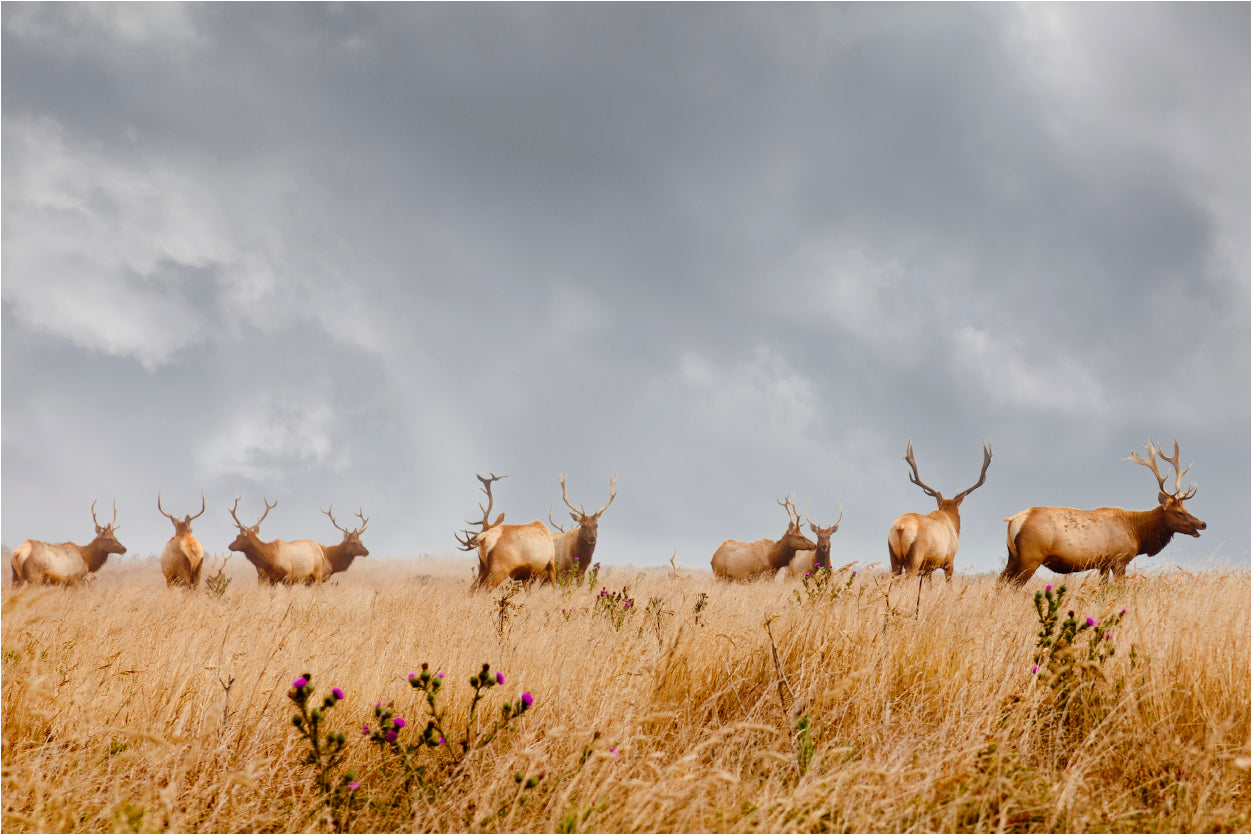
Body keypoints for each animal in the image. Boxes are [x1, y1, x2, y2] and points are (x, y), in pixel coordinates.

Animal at [885, 440, 990, 585]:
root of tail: (900, 528)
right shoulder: (949, 561)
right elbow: (949, 585)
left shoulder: (927, 569)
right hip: (914, 559)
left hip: (894, 557)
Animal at [995, 438, 1200, 588]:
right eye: (1179, 512)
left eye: (1186, 509)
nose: (1202, 523)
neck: (1137, 534)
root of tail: (1015, 520)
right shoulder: (1119, 560)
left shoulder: (1103, 564)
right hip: (1031, 556)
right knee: (1014, 586)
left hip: (1013, 556)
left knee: (999, 583)